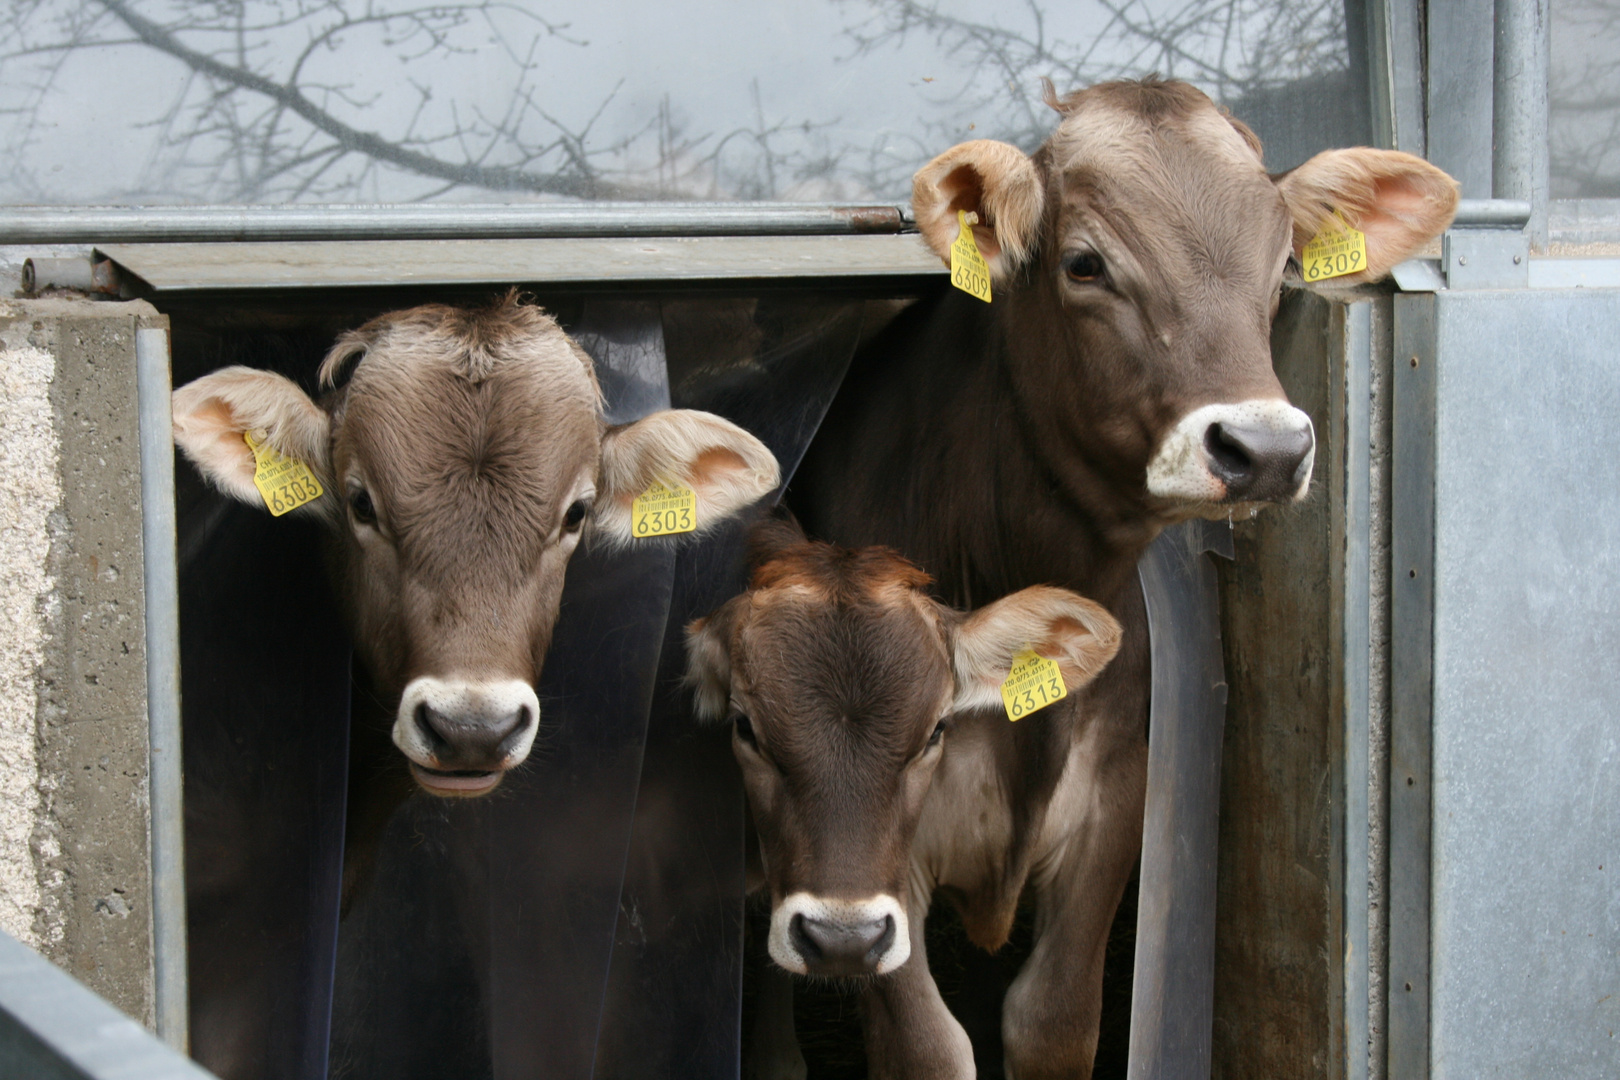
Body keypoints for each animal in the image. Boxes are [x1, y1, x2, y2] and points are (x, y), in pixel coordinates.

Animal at [790, 80, 1464, 1075]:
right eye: (1085, 264)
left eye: (1281, 270)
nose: (1265, 449)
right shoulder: (870, 841)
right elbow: (929, 1046)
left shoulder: (1116, 800)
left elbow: (1054, 1017)